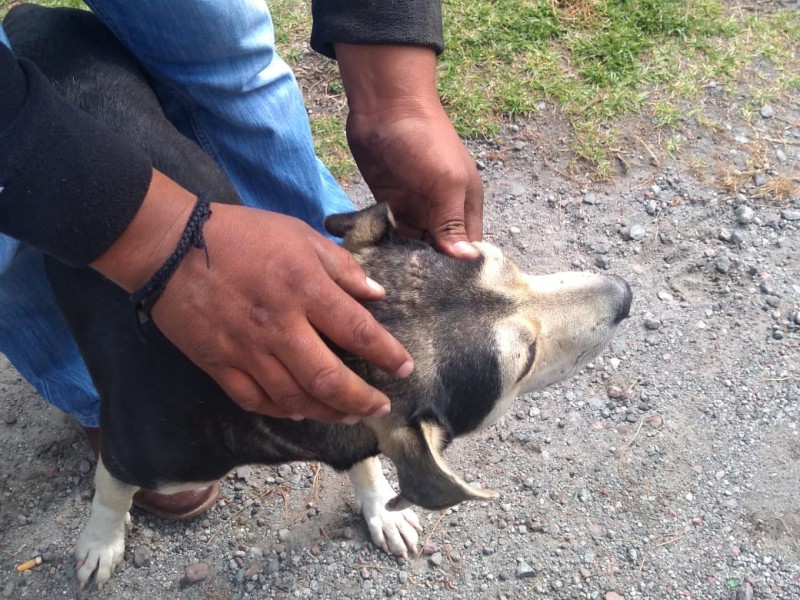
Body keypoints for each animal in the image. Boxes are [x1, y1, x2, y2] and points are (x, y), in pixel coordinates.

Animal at [4, 3, 632, 584]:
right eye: (524, 360)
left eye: (506, 262)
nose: (626, 295)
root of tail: (30, 13)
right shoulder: (132, 450)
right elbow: (111, 493)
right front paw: (100, 541)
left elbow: (370, 461)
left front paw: (381, 507)